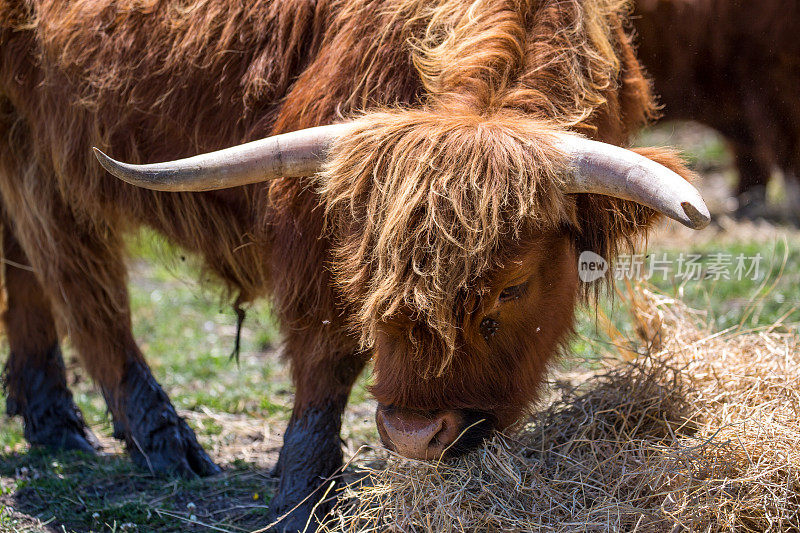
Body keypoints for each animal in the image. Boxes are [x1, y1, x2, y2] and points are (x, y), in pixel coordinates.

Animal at [1, 0, 708, 528]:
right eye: (368, 277)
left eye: (513, 288)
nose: (414, 433)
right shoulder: (308, 228)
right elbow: (326, 361)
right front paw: (300, 498)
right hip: (39, 151)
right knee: (83, 289)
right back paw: (164, 442)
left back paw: (51, 420)